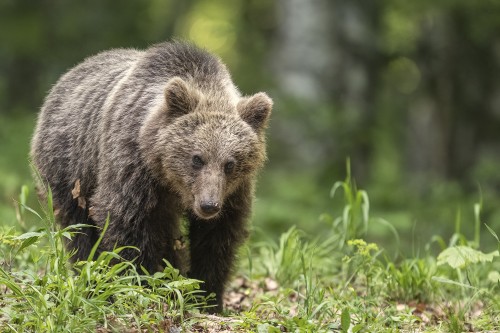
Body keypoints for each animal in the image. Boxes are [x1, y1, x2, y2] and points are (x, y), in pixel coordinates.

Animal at [30, 41, 274, 312]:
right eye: (197, 158)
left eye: (230, 163)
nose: (208, 205)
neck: (169, 178)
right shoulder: (132, 166)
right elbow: (126, 224)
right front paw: (139, 286)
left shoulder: (233, 193)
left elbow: (217, 239)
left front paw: (207, 298)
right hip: (71, 166)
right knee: (79, 228)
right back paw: (91, 281)